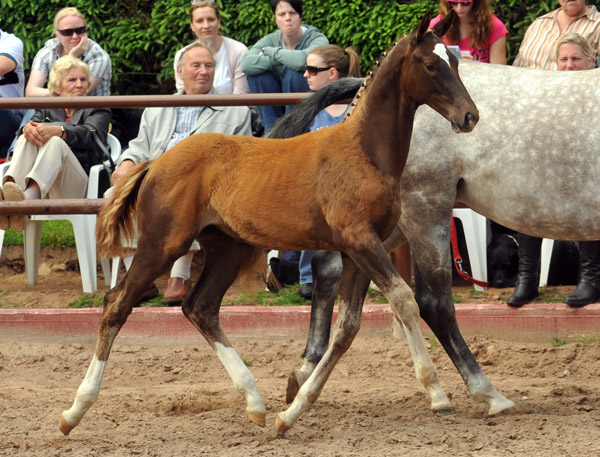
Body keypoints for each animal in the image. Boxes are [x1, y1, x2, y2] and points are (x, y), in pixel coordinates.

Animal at [274, 62, 600, 416]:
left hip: (391, 221)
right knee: (434, 302)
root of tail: (364, 90)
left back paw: (304, 373)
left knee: (330, 266)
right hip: (425, 209)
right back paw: (484, 392)